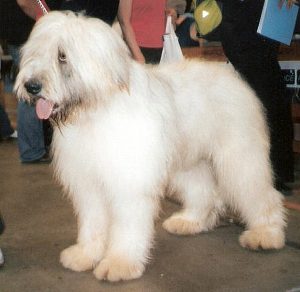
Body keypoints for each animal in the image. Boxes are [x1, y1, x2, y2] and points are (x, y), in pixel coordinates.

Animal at [14, 12, 286, 282]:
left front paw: (119, 263)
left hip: (239, 156)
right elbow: (93, 222)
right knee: (204, 192)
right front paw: (85, 255)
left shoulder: (129, 183)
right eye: (35, 53)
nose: (31, 86)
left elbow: (127, 225)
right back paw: (190, 221)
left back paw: (266, 234)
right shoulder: (89, 183)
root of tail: (230, 75)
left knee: (261, 194)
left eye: (62, 55)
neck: (96, 109)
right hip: (190, 160)